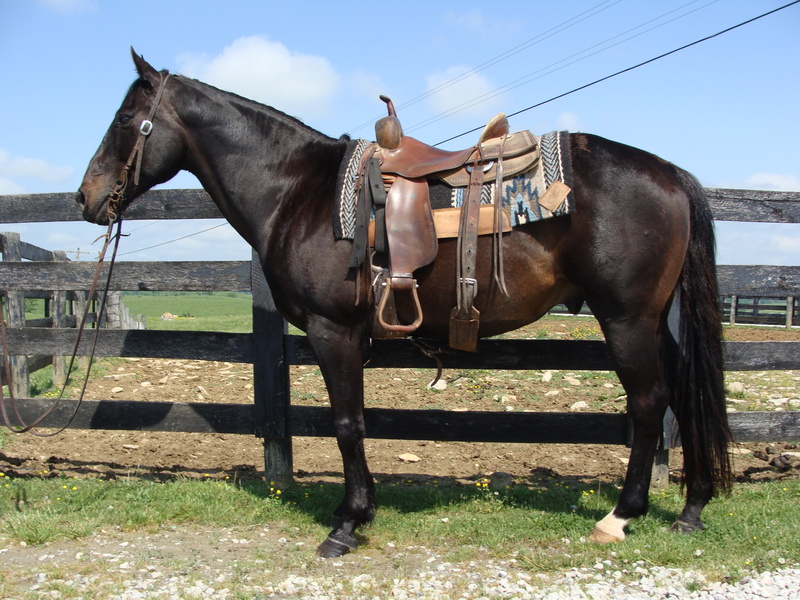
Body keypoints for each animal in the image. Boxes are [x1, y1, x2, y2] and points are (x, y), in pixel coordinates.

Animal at [76, 50, 732, 558]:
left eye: (126, 119)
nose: (86, 197)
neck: (295, 190)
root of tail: (671, 174)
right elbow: (355, 422)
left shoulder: (334, 332)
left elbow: (347, 424)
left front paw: (347, 523)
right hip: (653, 322)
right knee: (684, 393)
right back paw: (692, 508)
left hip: (627, 320)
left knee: (649, 403)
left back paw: (621, 515)